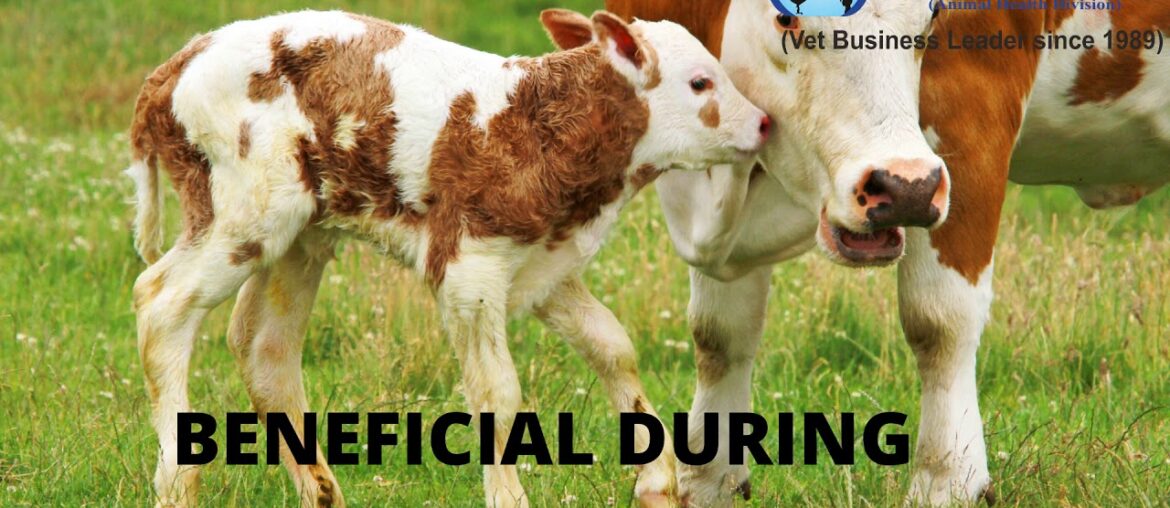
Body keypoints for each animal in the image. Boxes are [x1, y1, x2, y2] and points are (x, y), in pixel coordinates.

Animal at [127, 8, 770, 508]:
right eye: (700, 83)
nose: (765, 123)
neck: (535, 125)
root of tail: (177, 64)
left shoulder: (542, 260)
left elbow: (613, 347)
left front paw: (657, 482)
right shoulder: (469, 268)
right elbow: (497, 395)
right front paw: (510, 500)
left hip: (301, 232)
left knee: (264, 347)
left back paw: (322, 491)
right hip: (246, 209)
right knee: (161, 303)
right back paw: (178, 484)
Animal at [605, 0, 1169, 506]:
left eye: (932, 16)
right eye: (787, 18)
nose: (906, 190)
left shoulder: (970, 114)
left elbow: (939, 319)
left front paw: (947, 481)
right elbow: (720, 332)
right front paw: (707, 481)